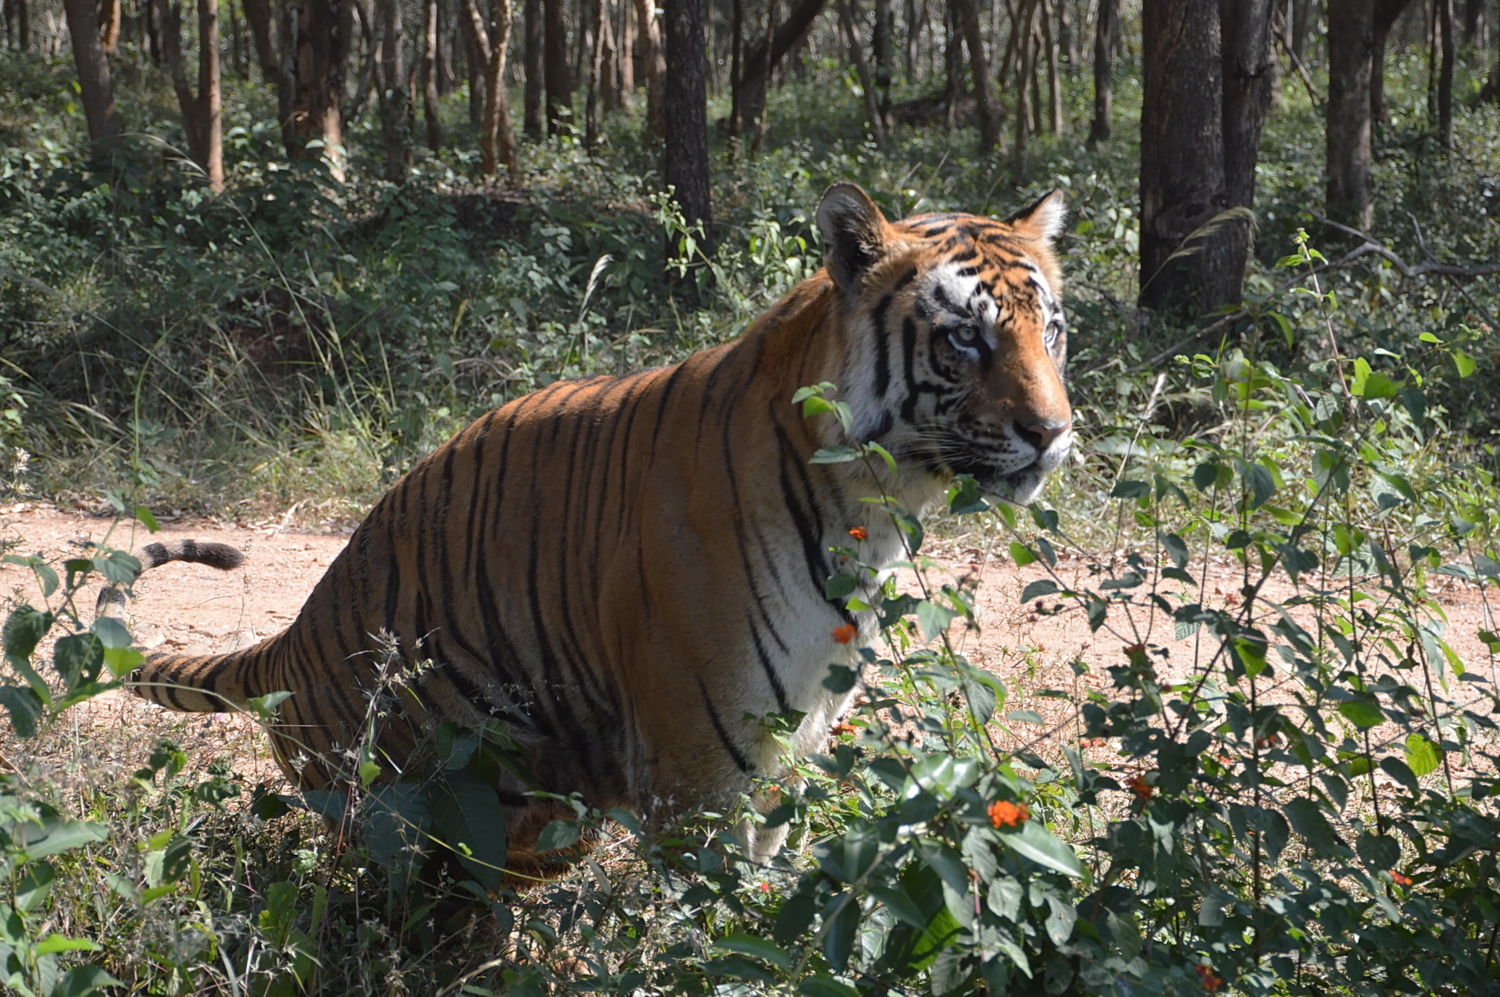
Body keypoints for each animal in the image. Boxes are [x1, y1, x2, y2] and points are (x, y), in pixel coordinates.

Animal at [126, 184, 1068, 869]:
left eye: (1051, 331)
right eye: (964, 340)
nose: (1053, 432)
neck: (874, 505)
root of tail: (294, 638)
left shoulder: (788, 753)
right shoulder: (699, 770)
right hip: (399, 807)